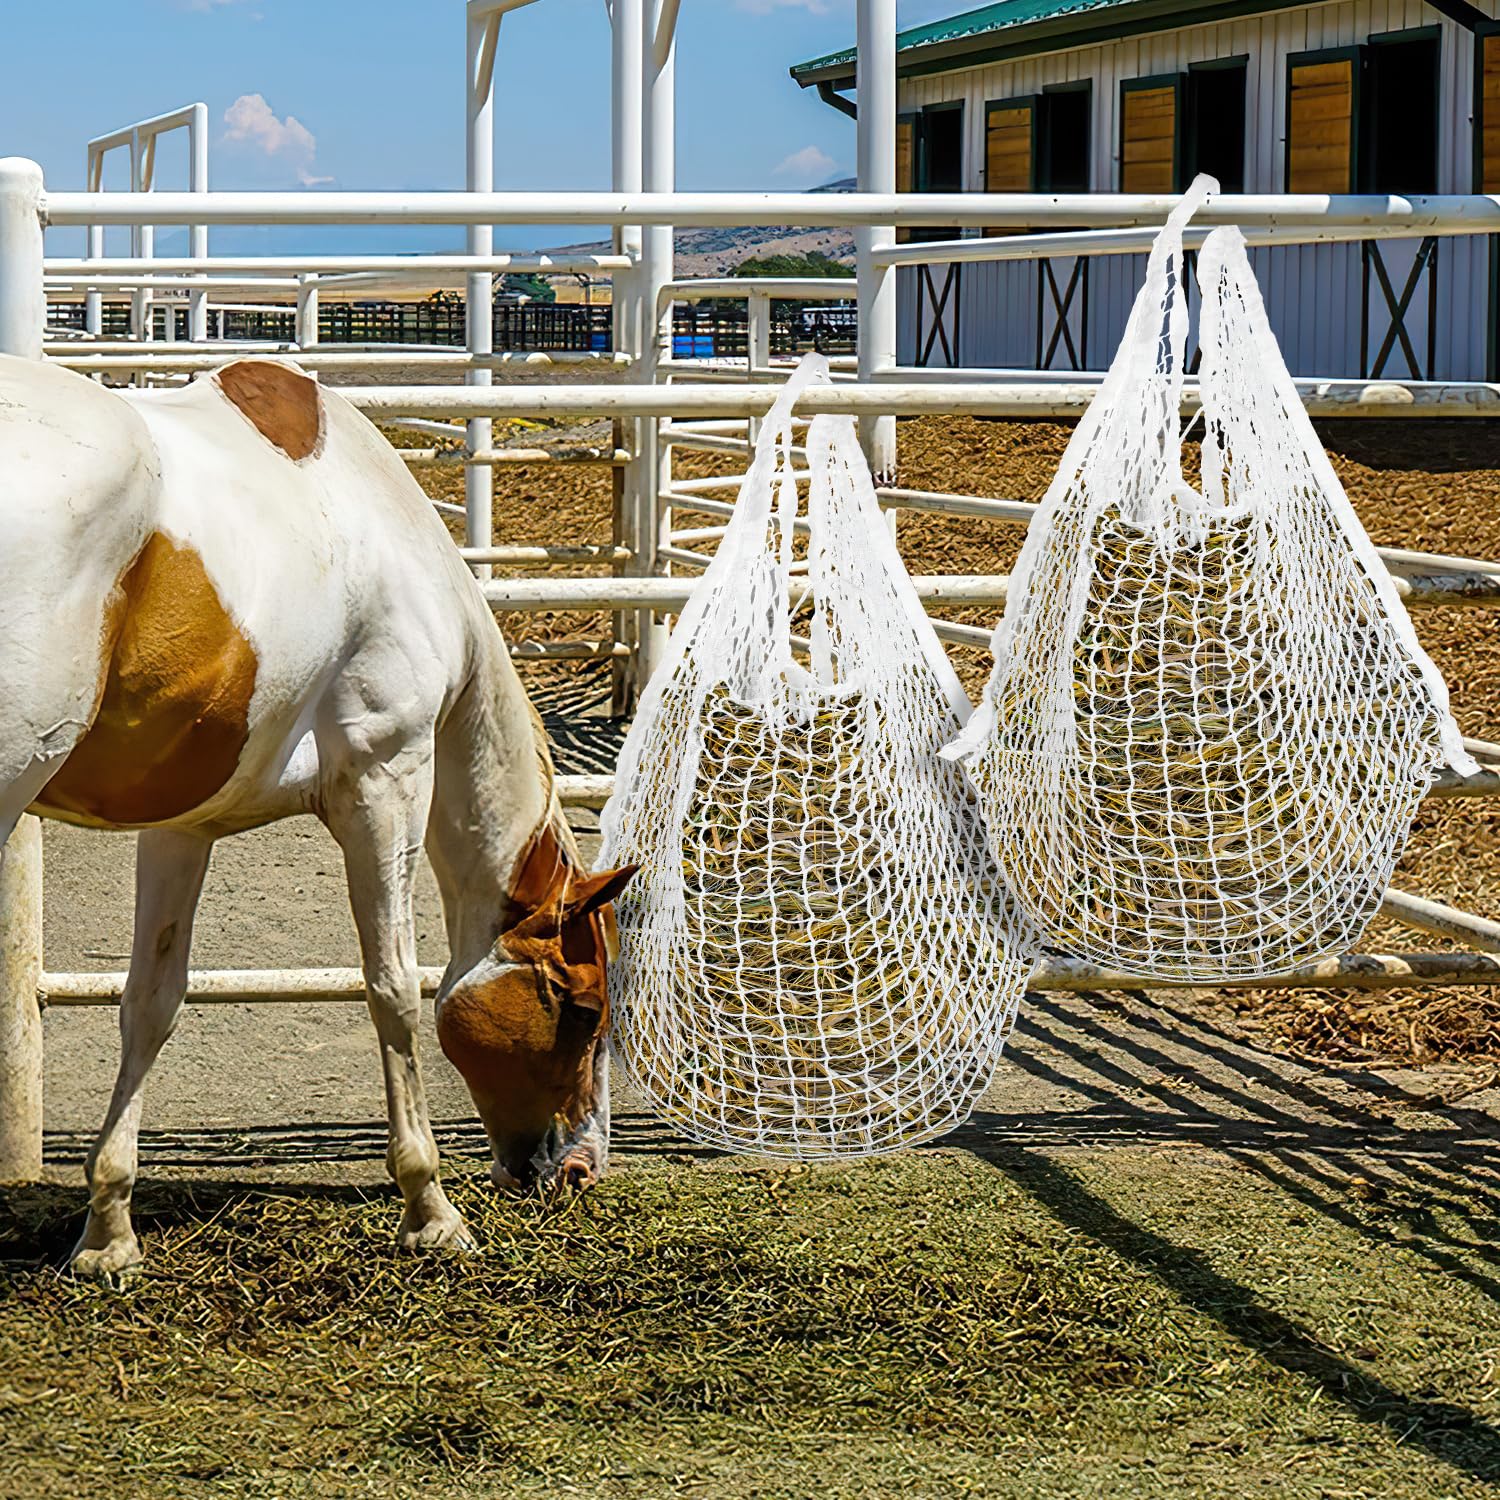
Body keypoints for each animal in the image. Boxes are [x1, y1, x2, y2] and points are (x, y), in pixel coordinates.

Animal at [0, 353, 635, 1278]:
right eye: (582, 1006)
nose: (579, 1167)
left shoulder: (181, 828)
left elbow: (150, 1000)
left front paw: (108, 1234)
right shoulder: (385, 779)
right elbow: (395, 987)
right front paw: (431, 1213)